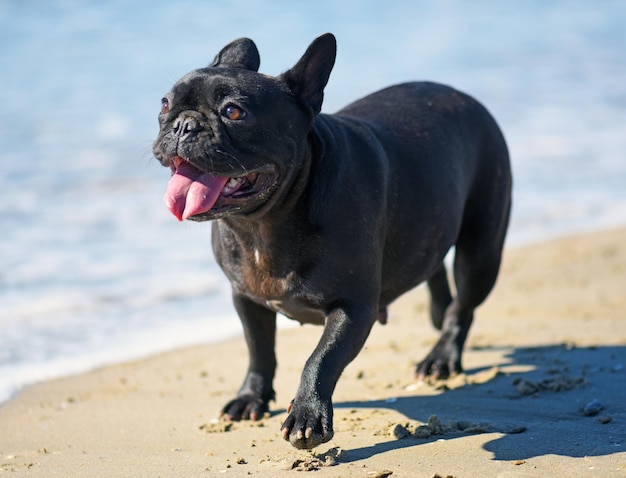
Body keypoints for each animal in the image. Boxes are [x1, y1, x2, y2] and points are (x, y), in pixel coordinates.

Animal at [152, 32, 512, 448]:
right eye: (165, 104)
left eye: (233, 112)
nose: (183, 125)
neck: (262, 224)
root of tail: (464, 97)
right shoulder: (247, 298)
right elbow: (259, 349)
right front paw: (251, 398)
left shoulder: (353, 307)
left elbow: (320, 358)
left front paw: (307, 414)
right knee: (435, 272)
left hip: (481, 250)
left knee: (463, 306)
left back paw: (441, 358)